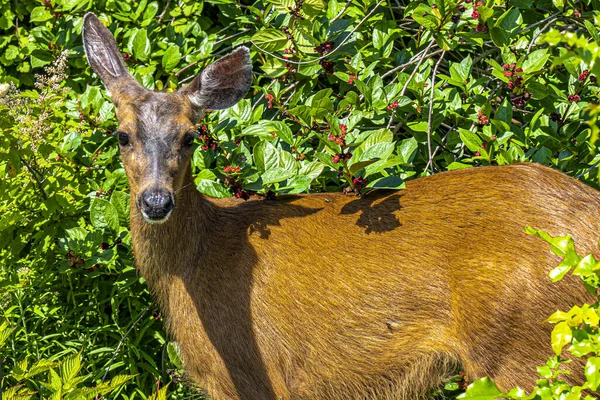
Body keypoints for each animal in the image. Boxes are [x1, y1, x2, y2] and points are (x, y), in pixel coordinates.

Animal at [81, 13, 600, 400]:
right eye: (122, 135)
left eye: (191, 136)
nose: (155, 201)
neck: (195, 262)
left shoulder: (255, 378)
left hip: (529, 350)